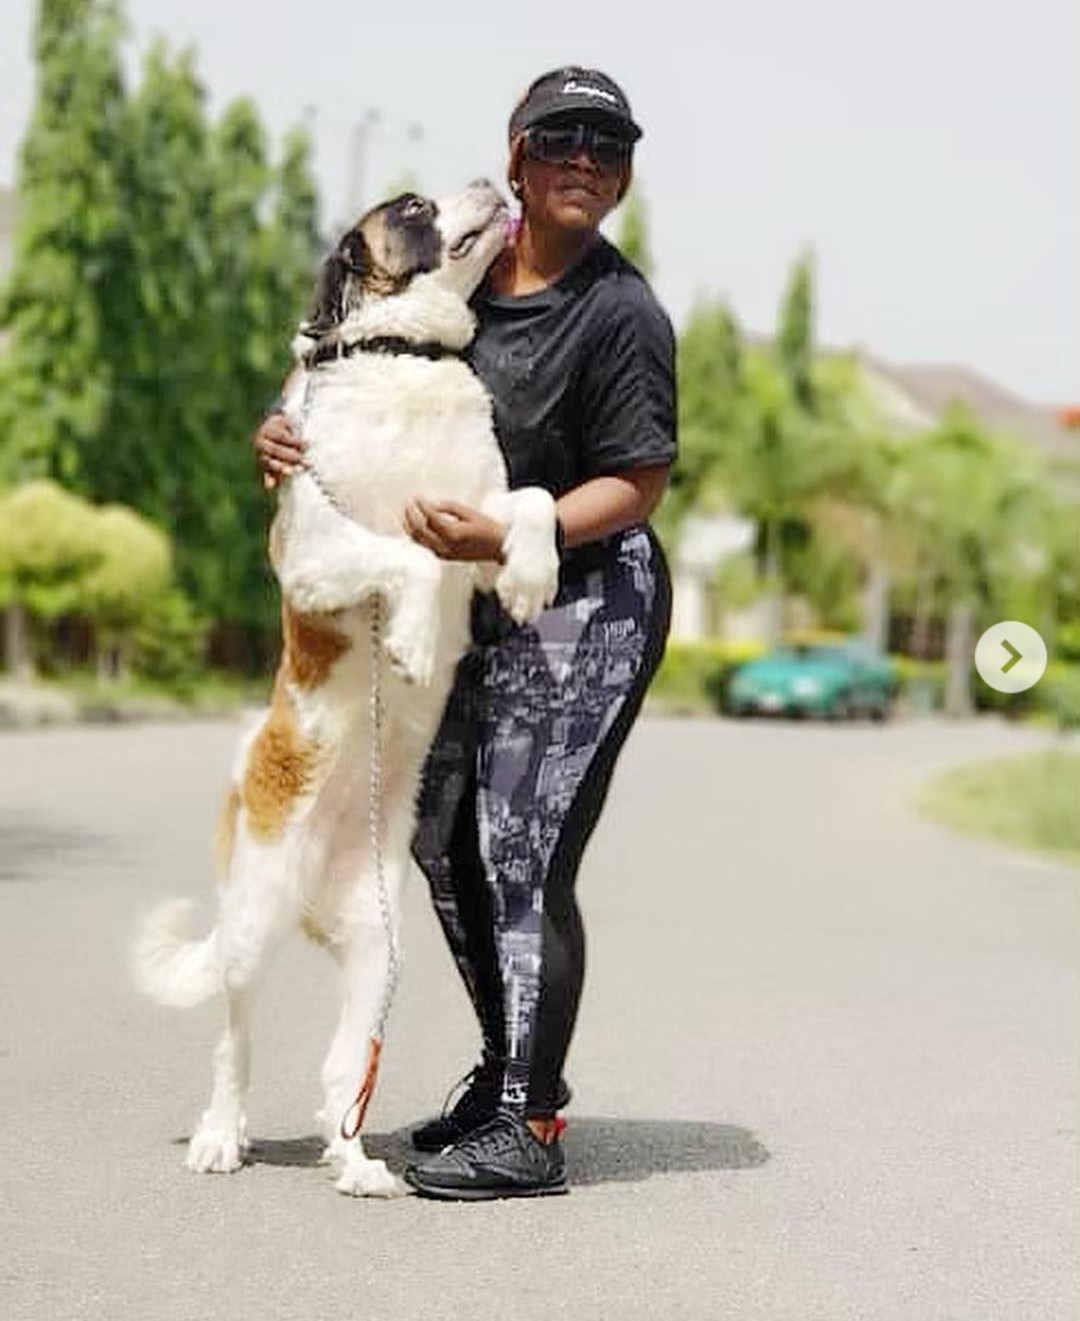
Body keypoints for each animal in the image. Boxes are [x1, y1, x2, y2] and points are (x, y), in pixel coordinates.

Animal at [132, 180, 554, 1204]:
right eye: (411, 207)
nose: (494, 183)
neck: (406, 356)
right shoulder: (318, 553)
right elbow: (404, 553)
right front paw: (408, 638)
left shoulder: (478, 515)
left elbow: (528, 506)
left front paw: (534, 576)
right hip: (248, 924)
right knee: (232, 1043)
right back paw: (221, 1134)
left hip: (378, 955)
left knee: (341, 1074)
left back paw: (357, 1161)